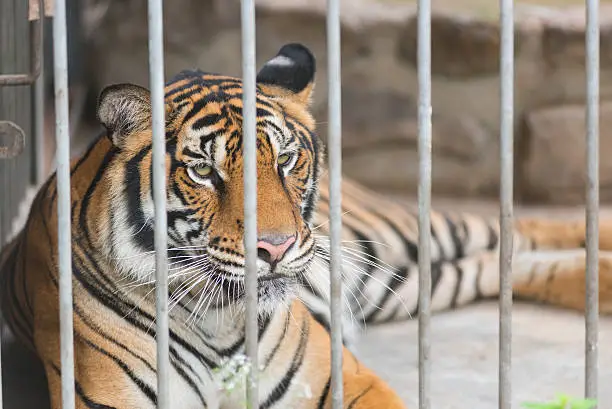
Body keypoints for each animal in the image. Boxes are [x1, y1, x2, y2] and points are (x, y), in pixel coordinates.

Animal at [1, 41, 612, 408]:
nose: (275, 248)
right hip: (397, 283)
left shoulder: (344, 378)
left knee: (514, 229)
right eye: (203, 170)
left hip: (398, 235)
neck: (221, 322)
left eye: (287, 159)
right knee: (502, 262)